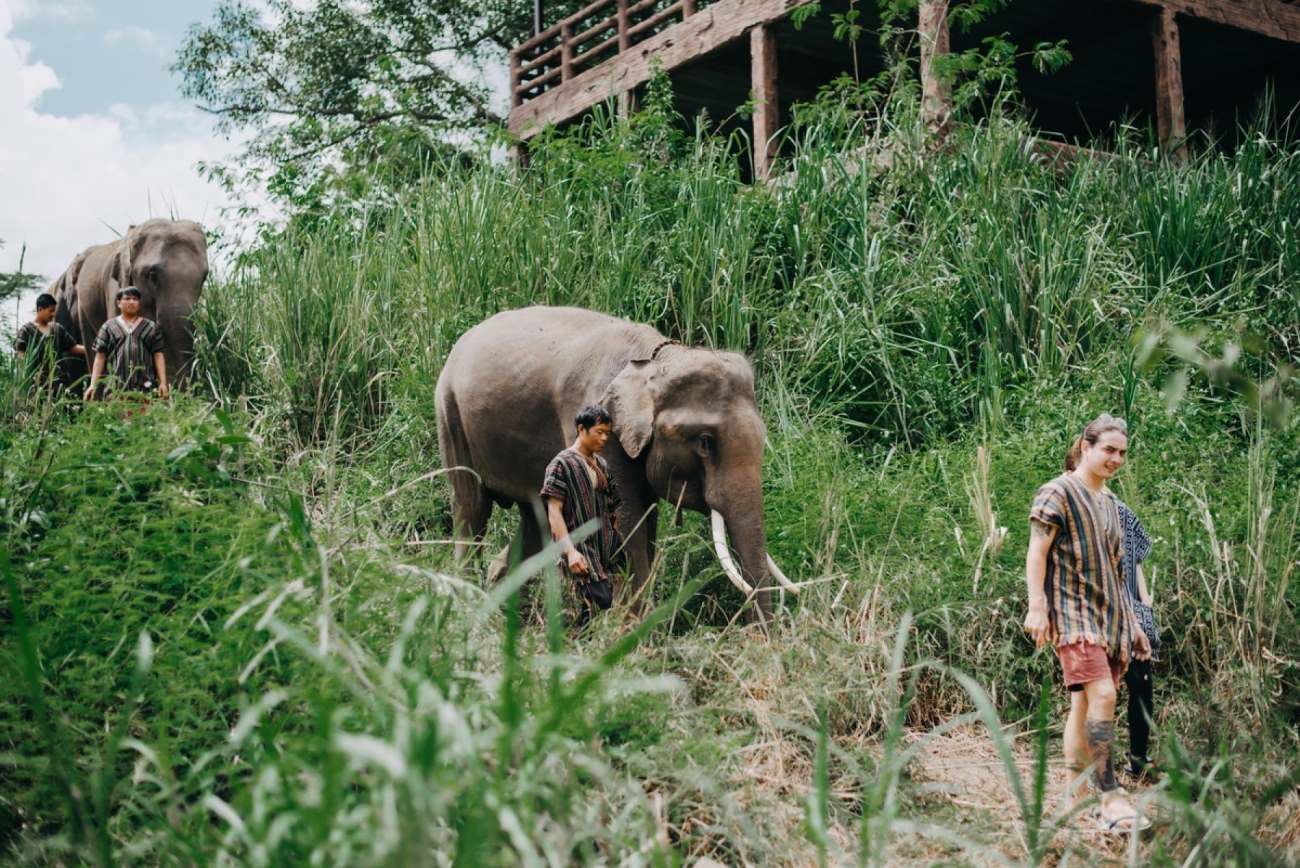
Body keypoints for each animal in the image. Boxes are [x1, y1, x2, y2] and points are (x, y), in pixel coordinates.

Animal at [436, 305, 795, 623]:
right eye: (705, 442)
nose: (762, 635)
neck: (657, 360)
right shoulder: (600, 429)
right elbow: (623, 518)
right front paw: (635, 628)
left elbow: (642, 519)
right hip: (450, 416)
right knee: (471, 508)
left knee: (536, 519)